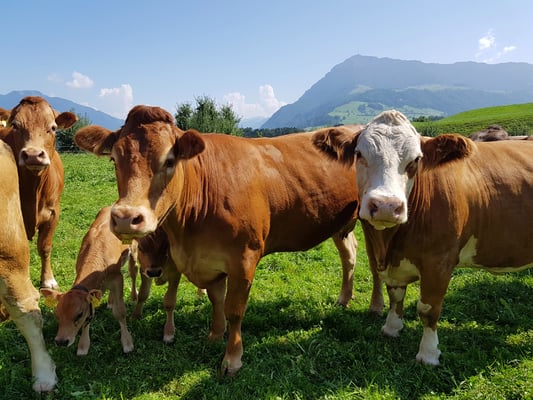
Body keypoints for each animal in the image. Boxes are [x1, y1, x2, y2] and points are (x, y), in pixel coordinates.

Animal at [0, 96, 77, 289]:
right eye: (15, 125)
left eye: (53, 127)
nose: (33, 155)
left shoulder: (53, 213)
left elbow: (45, 246)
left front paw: (48, 280)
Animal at [40, 206, 135, 355]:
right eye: (57, 315)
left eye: (78, 314)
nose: (61, 341)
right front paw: (83, 345)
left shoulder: (117, 277)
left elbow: (120, 312)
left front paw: (127, 343)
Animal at [73, 105, 362, 376]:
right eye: (114, 159)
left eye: (169, 160)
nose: (125, 217)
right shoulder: (208, 261)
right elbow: (216, 299)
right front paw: (214, 334)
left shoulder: (244, 259)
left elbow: (234, 310)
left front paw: (231, 359)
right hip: (340, 226)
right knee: (349, 255)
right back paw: (344, 298)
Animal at [312, 109, 533, 366]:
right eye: (359, 154)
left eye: (416, 160)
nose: (386, 206)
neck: (390, 244)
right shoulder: (393, 264)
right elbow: (395, 295)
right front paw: (392, 328)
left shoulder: (439, 262)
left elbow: (428, 309)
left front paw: (428, 354)